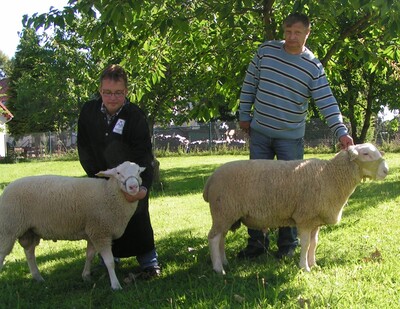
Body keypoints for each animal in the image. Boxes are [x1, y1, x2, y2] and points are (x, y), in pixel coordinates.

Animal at [0, 160, 145, 290]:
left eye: (138, 171)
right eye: (118, 173)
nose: (133, 187)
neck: (108, 193)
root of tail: (7, 189)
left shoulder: (92, 232)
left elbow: (89, 256)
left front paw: (86, 276)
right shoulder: (100, 232)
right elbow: (109, 262)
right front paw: (115, 285)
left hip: (30, 231)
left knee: (29, 252)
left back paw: (38, 277)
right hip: (8, 227)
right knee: (3, 253)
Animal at [203, 143, 388, 274]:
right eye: (365, 154)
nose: (386, 170)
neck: (329, 175)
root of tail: (210, 179)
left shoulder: (315, 221)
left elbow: (314, 243)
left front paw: (314, 264)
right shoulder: (305, 217)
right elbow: (305, 244)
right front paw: (304, 267)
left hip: (226, 214)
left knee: (221, 238)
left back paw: (224, 262)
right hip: (223, 210)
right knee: (213, 238)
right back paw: (219, 269)